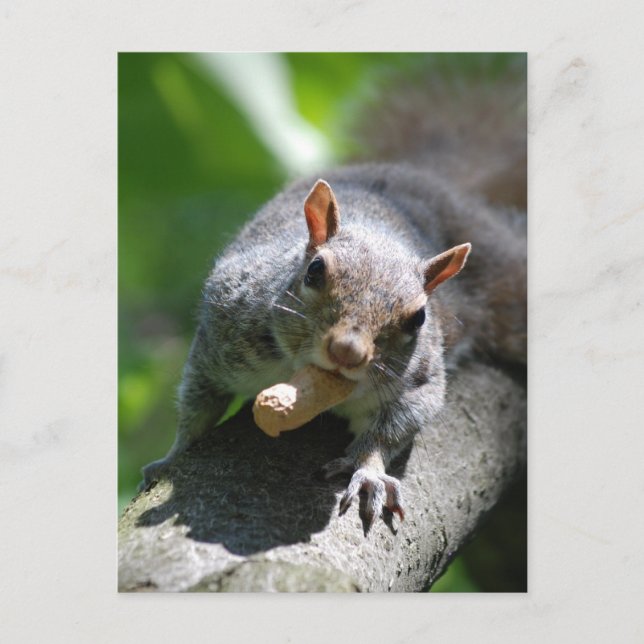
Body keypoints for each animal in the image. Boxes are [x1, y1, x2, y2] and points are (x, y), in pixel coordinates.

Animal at [141, 56, 527, 531]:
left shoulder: (420, 380)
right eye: (315, 271)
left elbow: (392, 428)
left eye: (420, 317)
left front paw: (369, 473)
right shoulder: (222, 332)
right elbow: (198, 403)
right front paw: (171, 457)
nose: (347, 351)